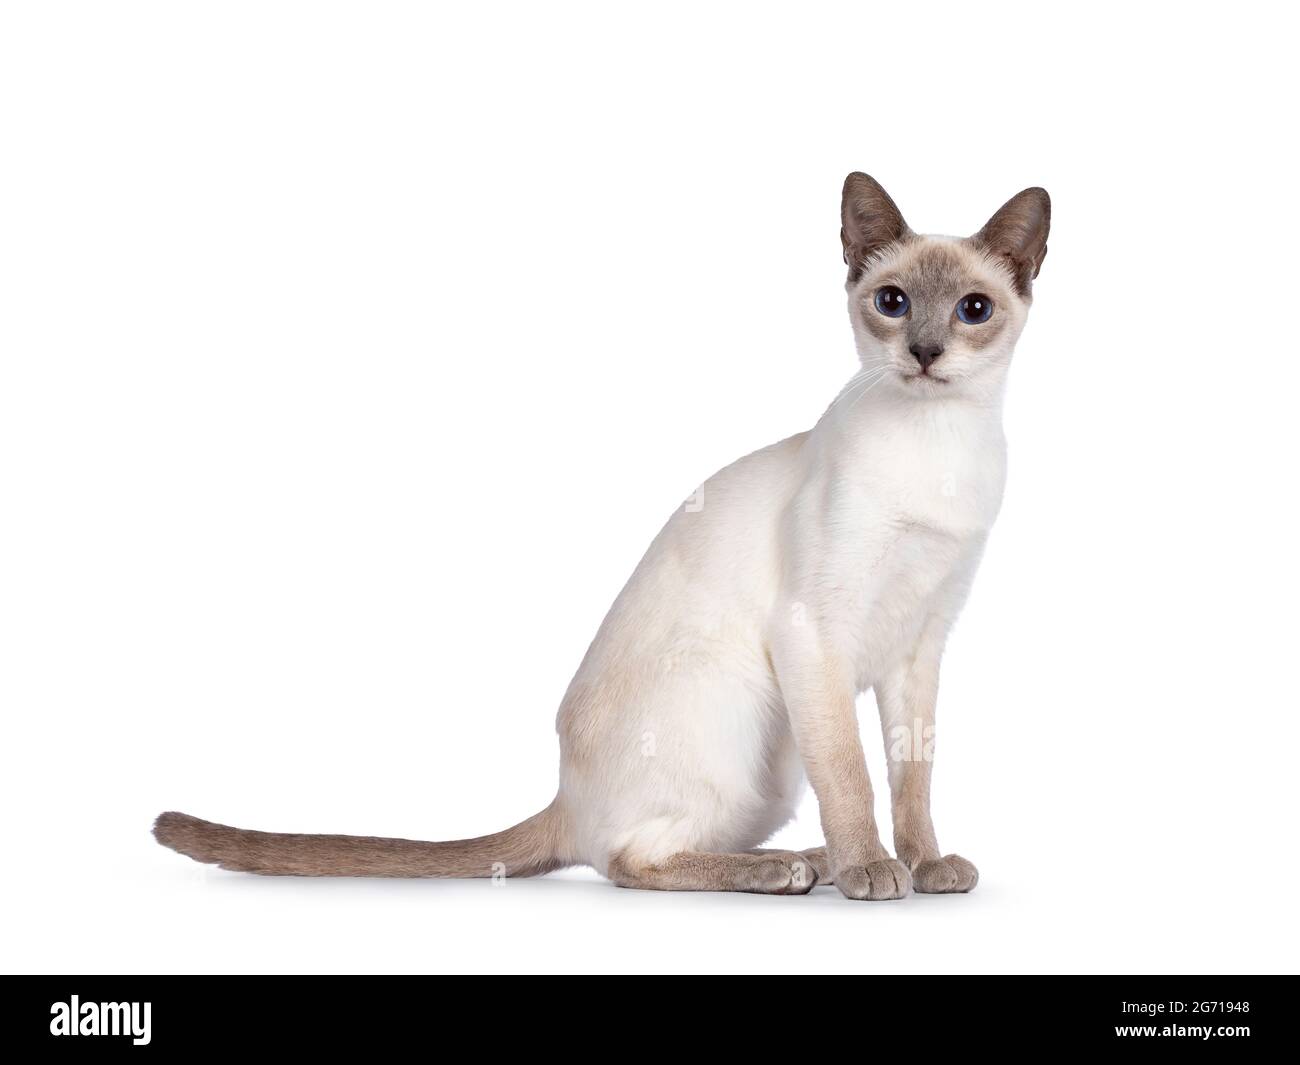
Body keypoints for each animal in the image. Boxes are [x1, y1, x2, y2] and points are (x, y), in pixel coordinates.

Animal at [154, 172, 1045, 899]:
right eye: (893, 303)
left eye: (972, 310)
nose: (925, 352)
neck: (938, 451)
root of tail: (565, 795)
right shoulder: (814, 634)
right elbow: (853, 777)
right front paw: (874, 868)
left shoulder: (920, 642)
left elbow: (911, 778)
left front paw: (925, 865)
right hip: (744, 715)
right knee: (625, 860)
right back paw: (798, 869)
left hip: (771, 772)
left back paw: (809, 861)